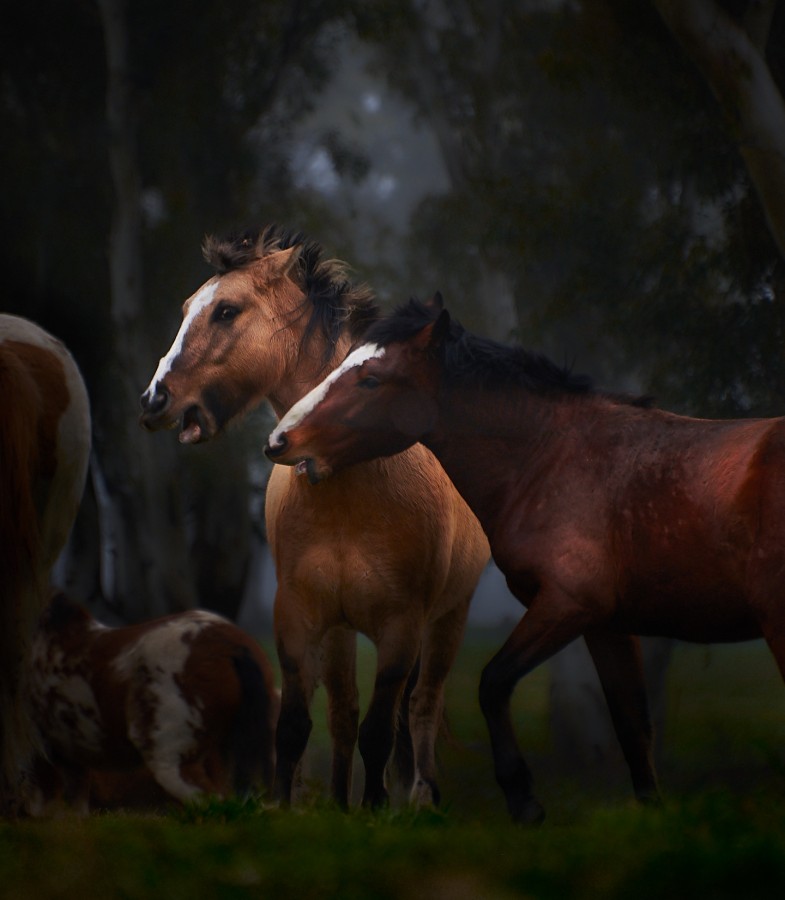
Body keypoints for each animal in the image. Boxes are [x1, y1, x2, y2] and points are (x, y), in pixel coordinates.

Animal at [138, 227, 486, 808]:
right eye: (188, 308)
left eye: (226, 311)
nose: (153, 399)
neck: (351, 486)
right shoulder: (298, 620)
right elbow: (297, 726)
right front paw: (287, 806)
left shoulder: (401, 629)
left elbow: (380, 730)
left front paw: (376, 810)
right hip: (341, 632)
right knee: (344, 714)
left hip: (448, 620)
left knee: (422, 705)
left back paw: (420, 798)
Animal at [264, 294, 785, 824]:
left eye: (371, 379)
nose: (279, 441)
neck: (552, 456)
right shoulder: (607, 625)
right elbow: (632, 722)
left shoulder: (567, 606)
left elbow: (493, 683)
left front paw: (523, 797)